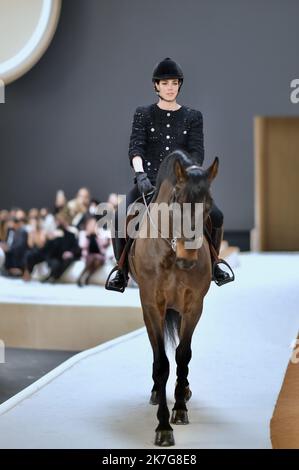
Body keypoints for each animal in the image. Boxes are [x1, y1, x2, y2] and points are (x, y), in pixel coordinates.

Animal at [127, 151, 219, 448]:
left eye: (208, 204)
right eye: (177, 199)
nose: (188, 257)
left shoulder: (193, 307)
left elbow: (182, 355)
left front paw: (179, 409)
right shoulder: (153, 306)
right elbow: (163, 363)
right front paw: (163, 426)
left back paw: (184, 390)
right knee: (156, 354)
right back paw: (157, 392)